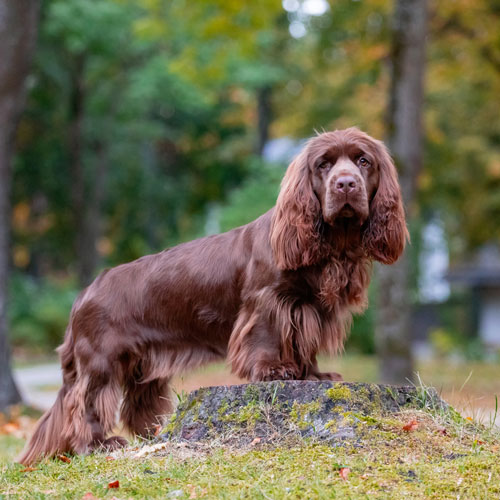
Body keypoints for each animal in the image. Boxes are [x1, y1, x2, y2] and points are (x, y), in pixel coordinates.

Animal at [19, 128, 408, 464]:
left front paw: (312, 374)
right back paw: (98, 444)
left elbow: (303, 344)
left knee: (136, 404)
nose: (346, 184)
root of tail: (84, 294)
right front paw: (274, 371)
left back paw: (151, 436)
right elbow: (269, 337)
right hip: (101, 361)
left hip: (143, 364)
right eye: (323, 164)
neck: (333, 246)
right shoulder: (267, 302)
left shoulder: (308, 309)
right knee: (85, 403)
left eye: (363, 161)